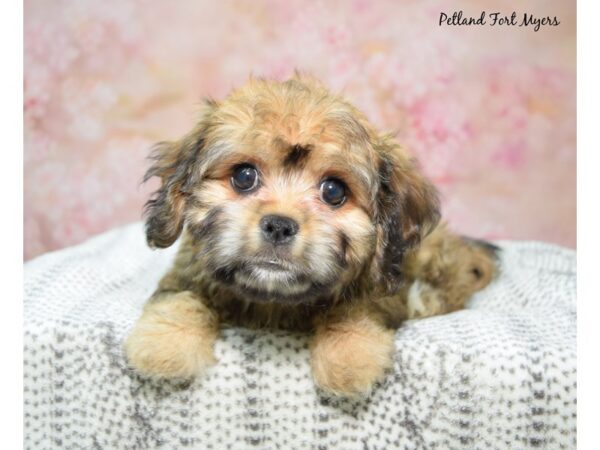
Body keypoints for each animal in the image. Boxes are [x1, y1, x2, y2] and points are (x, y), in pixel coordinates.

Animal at [123, 75, 496, 396]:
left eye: (334, 191)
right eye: (244, 176)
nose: (279, 225)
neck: (272, 299)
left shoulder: (382, 290)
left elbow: (354, 308)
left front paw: (349, 355)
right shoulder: (189, 270)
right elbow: (181, 297)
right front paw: (165, 343)